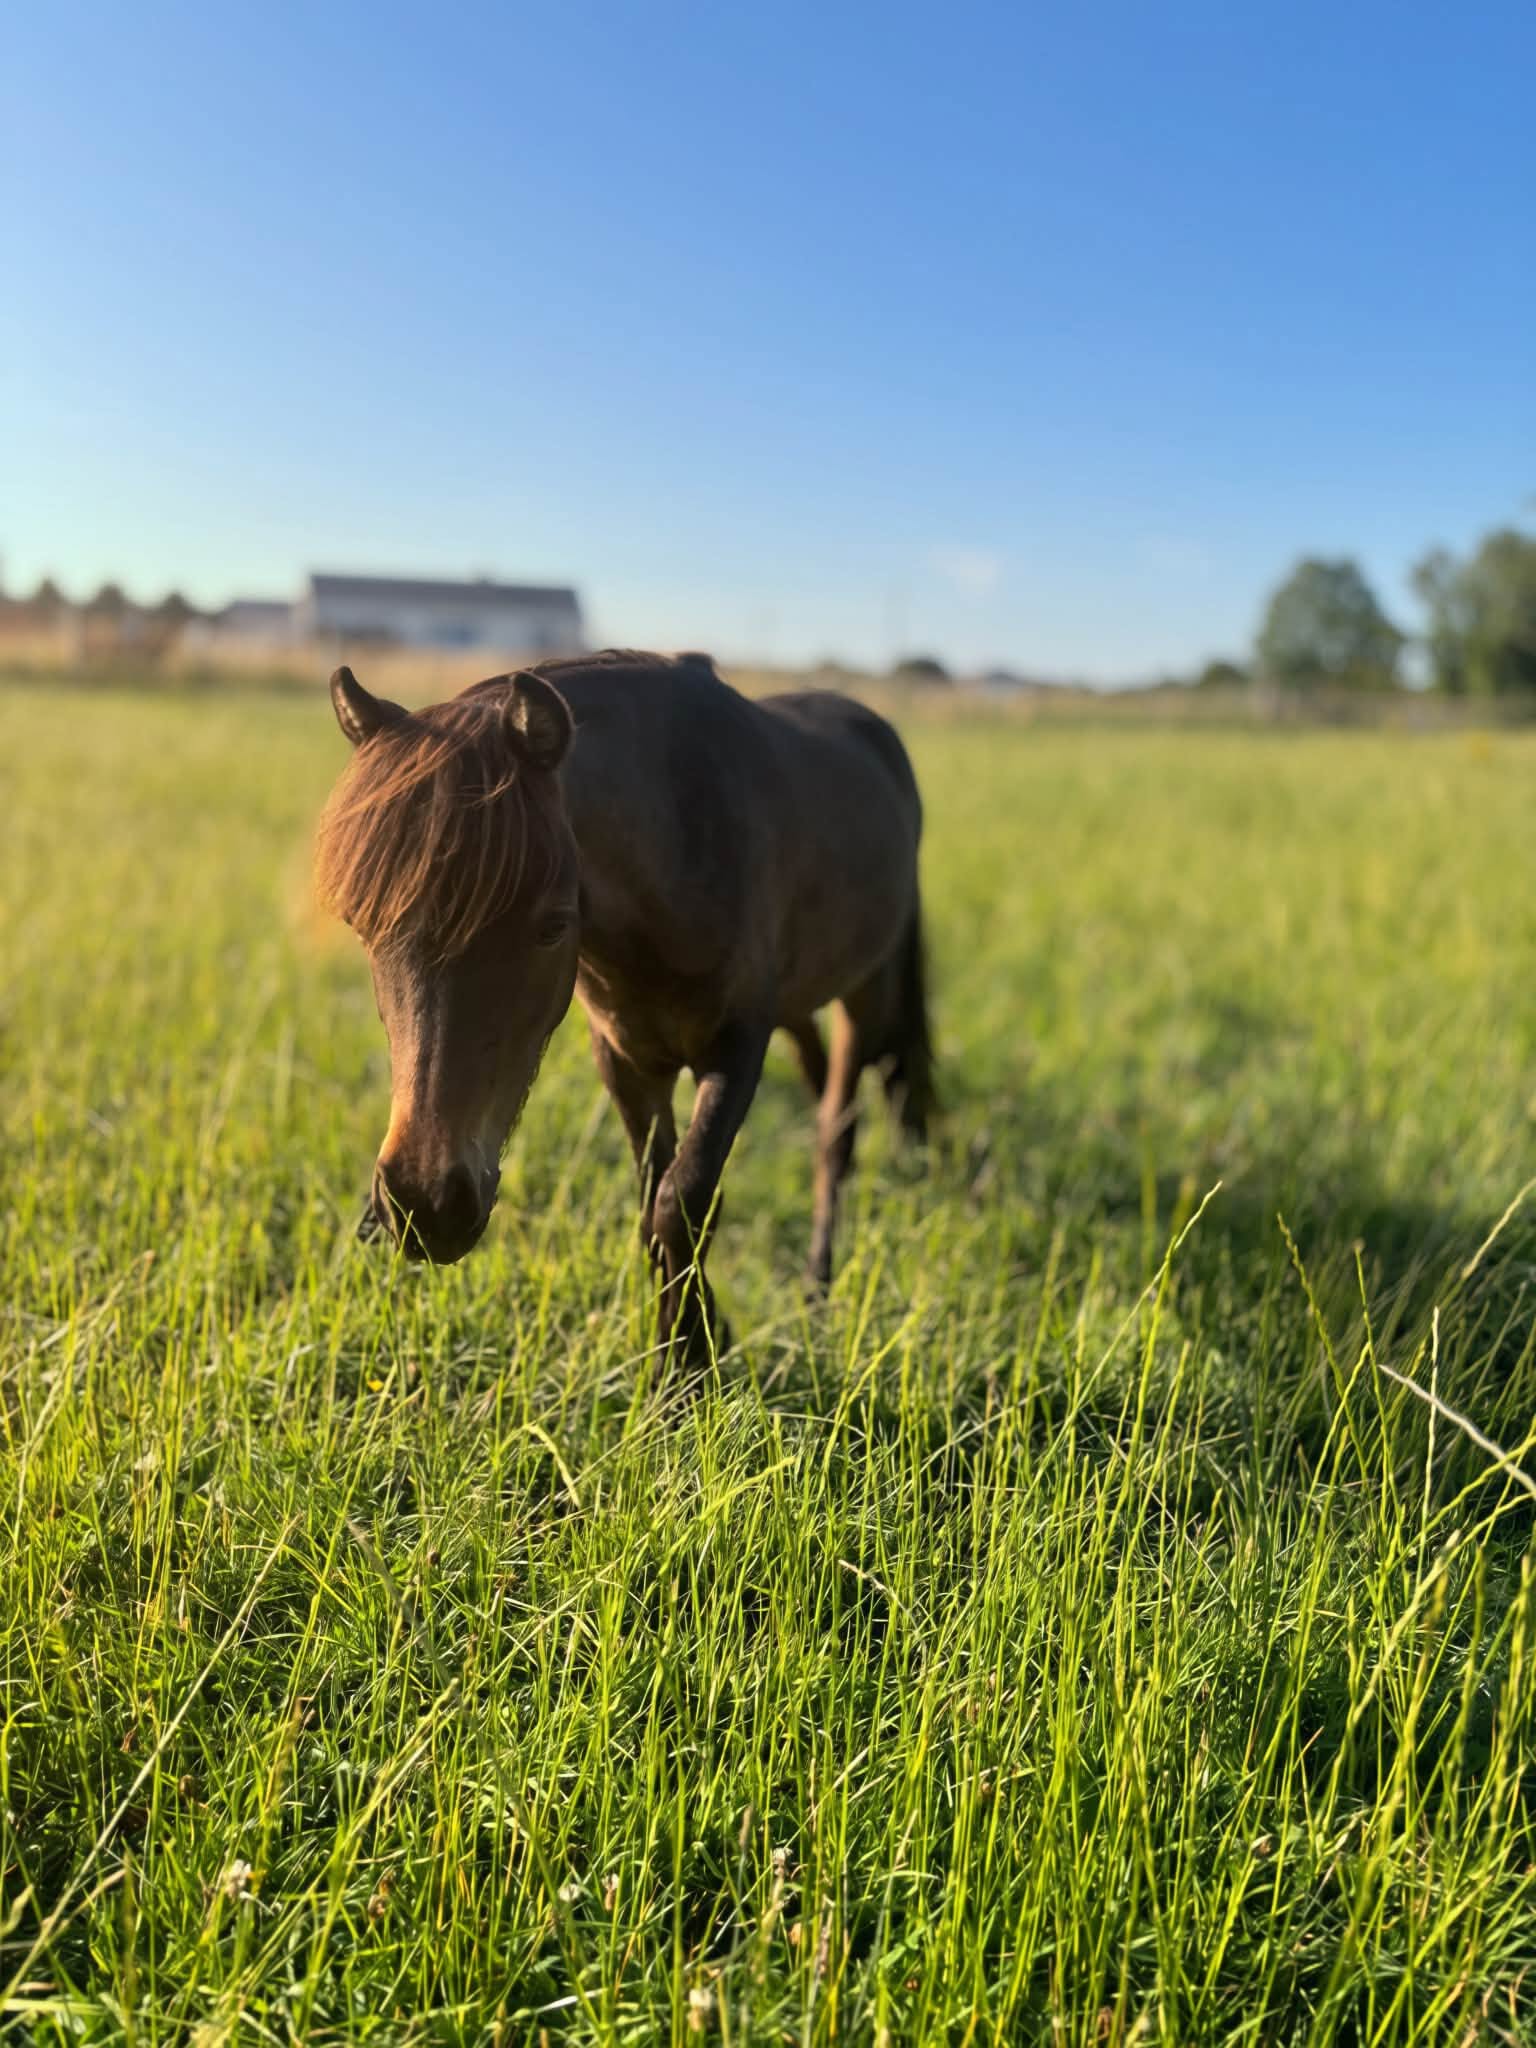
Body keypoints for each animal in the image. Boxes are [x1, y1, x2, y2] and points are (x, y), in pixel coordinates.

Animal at [315, 649, 934, 1361]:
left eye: (554, 925)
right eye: (361, 923)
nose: (425, 1202)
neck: (682, 841)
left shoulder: (736, 1048)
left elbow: (683, 1201)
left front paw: (690, 1362)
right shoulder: (626, 1059)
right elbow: (651, 1204)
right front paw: (689, 1341)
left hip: (866, 992)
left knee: (838, 1133)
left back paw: (817, 1289)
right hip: (801, 1004)